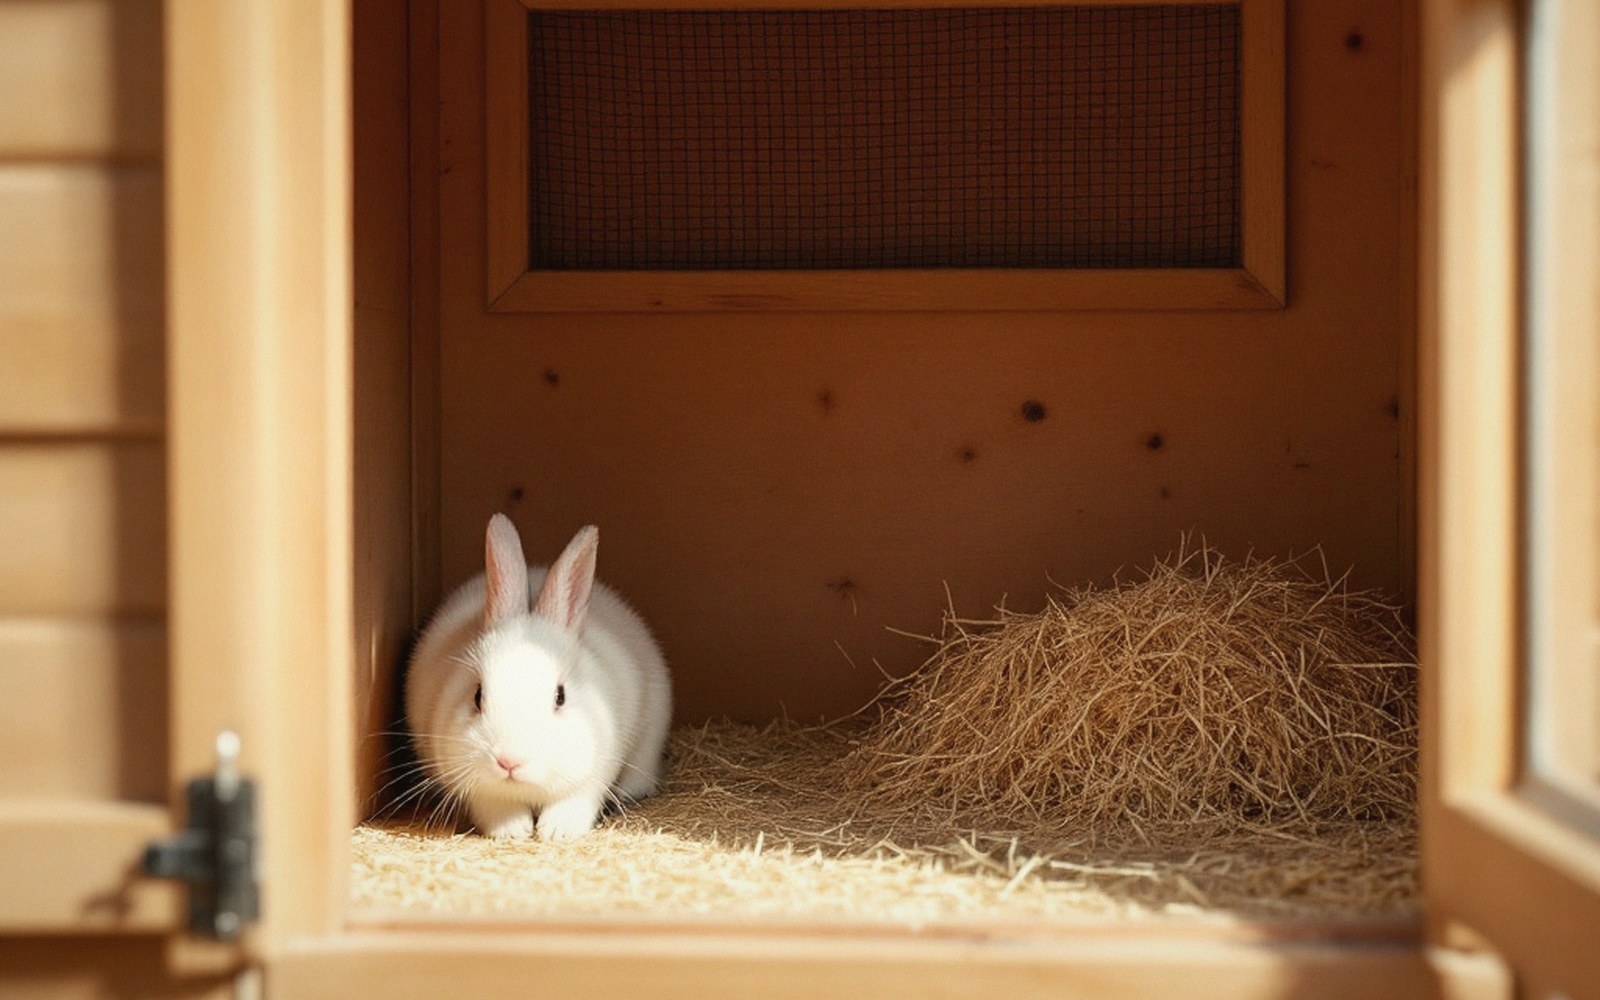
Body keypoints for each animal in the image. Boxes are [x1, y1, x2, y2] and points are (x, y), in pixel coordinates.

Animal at [404, 513, 672, 841]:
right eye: (477, 695)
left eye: (560, 697)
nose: (509, 761)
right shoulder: (470, 781)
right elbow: (495, 806)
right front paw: (513, 831)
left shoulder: (593, 773)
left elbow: (575, 801)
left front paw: (556, 832)